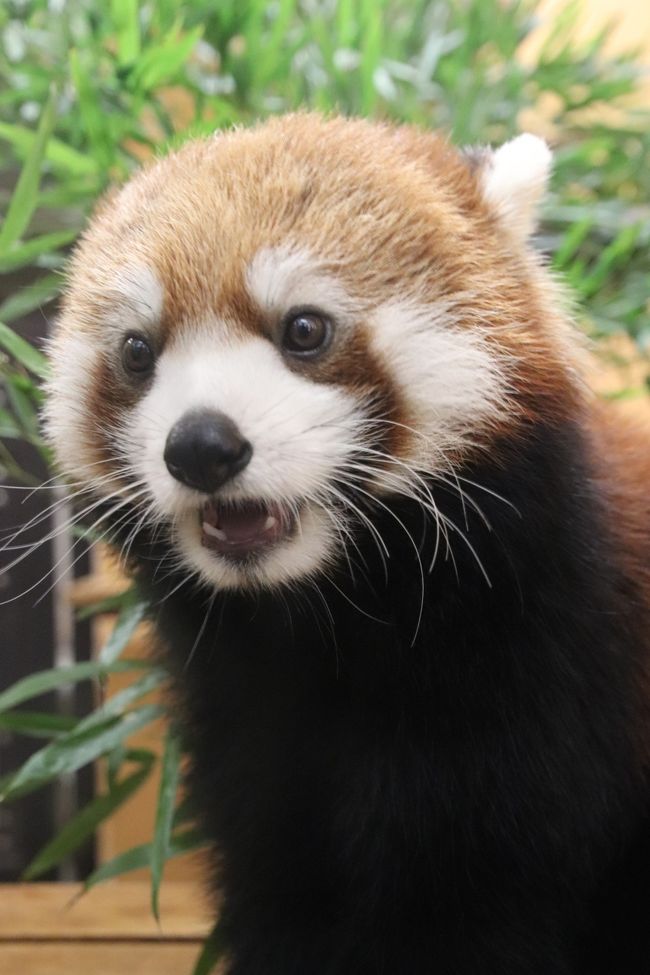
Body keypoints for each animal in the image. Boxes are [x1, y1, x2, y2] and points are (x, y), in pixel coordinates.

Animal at [45, 116, 648, 975]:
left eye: (304, 328)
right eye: (137, 350)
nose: (200, 446)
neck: (335, 623)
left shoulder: (550, 678)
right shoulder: (251, 731)